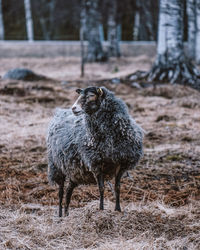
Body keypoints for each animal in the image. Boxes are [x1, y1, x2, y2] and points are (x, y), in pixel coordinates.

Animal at [47, 86, 144, 217]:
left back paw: (67, 214)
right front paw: (101, 208)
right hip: (56, 166)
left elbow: (117, 187)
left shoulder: (122, 164)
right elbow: (101, 188)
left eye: (91, 96)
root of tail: (59, 113)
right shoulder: (96, 163)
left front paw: (118, 209)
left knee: (68, 191)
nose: (73, 108)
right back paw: (60, 214)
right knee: (61, 192)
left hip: (73, 171)